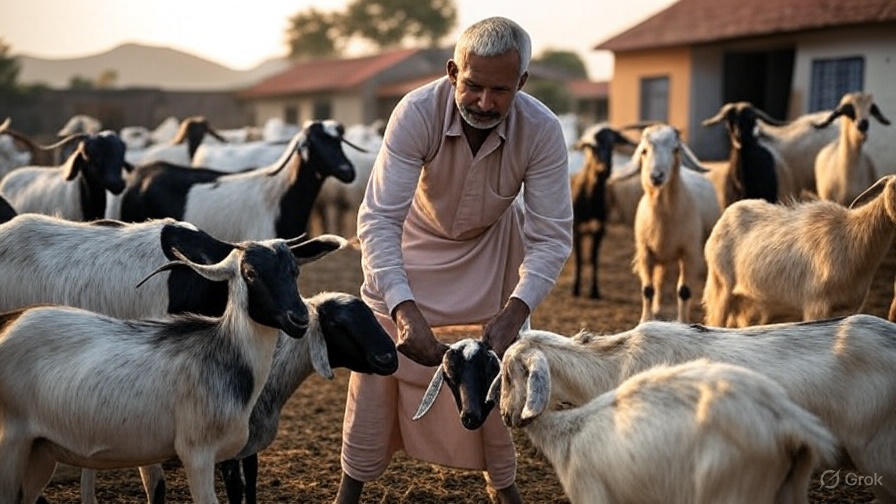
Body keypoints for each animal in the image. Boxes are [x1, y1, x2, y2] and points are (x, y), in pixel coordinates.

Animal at [0, 234, 344, 504]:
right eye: (250, 272)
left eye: (294, 270)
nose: (299, 318)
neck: (225, 352)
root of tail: (10, 323)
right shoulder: (197, 453)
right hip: (11, 440)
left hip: (40, 451)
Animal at [498, 357, 836, 504]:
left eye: (508, 376)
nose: (503, 415)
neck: (570, 431)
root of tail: (788, 423)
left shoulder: (591, 493)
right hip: (788, 490)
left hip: (730, 492)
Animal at [569, 124, 637, 298]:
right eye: (593, 147)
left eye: (612, 145)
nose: (604, 169)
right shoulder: (576, 228)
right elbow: (579, 258)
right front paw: (575, 289)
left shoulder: (600, 227)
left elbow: (594, 258)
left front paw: (594, 291)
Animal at [615, 124, 720, 322]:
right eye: (644, 151)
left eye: (675, 149)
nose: (656, 176)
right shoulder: (645, 252)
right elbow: (647, 289)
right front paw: (646, 320)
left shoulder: (689, 252)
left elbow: (684, 291)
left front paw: (683, 322)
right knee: (659, 280)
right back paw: (656, 309)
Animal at [703, 174, 896, 327]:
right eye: (893, 188)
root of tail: (727, 213)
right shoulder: (816, 306)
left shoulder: (850, 307)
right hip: (720, 288)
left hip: (750, 303)